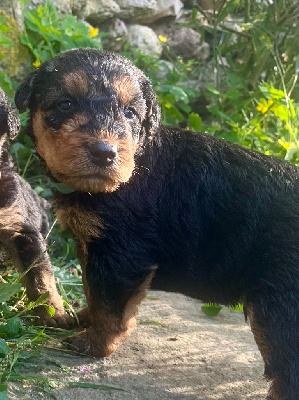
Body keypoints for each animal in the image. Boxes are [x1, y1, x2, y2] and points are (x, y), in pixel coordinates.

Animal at [15, 50, 299, 400]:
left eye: (129, 113)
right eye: (66, 104)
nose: (104, 152)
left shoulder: (121, 256)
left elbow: (110, 306)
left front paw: (96, 343)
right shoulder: (94, 246)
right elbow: (94, 292)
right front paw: (85, 318)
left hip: (279, 308)